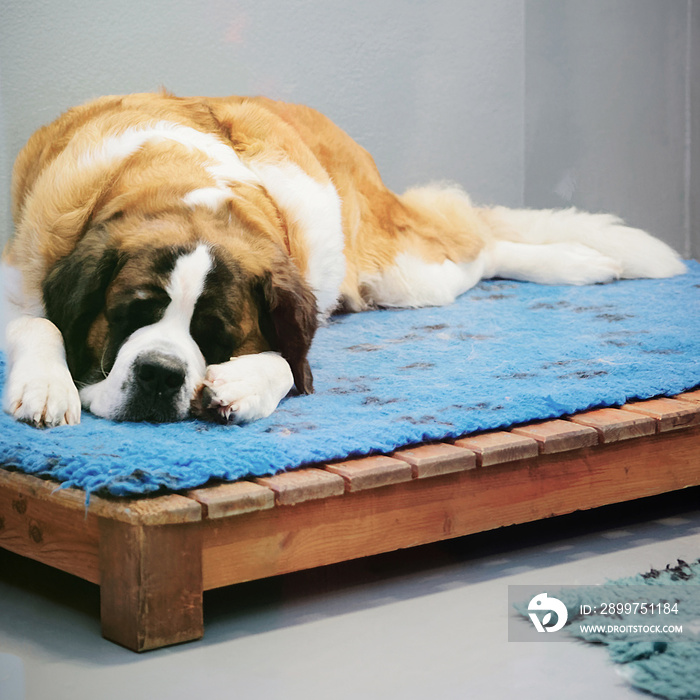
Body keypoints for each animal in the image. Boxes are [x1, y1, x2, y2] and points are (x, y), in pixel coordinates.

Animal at [1, 89, 688, 426]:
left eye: (214, 336)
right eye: (130, 314)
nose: (163, 376)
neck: (179, 185)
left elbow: (291, 360)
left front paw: (245, 384)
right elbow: (39, 324)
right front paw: (46, 387)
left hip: (408, 272)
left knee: (477, 242)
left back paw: (581, 260)